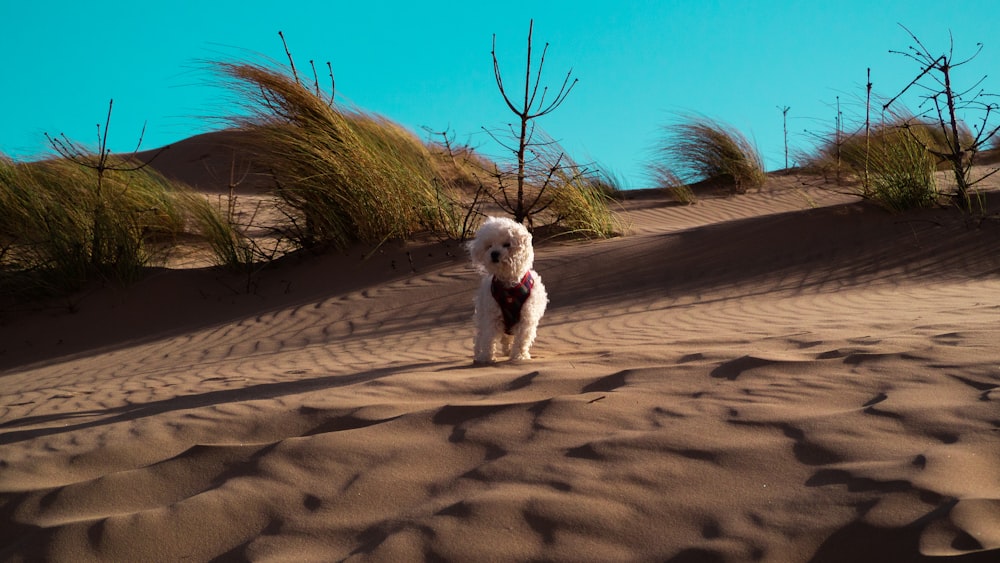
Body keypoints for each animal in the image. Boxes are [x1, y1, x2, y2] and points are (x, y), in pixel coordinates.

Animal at [466, 214, 548, 364]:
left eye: (507, 244)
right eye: (489, 246)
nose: (494, 253)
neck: (509, 286)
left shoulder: (526, 317)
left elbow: (521, 339)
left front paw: (519, 356)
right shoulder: (492, 316)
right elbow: (488, 338)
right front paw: (486, 358)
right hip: (482, 314)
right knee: (480, 336)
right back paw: (479, 354)